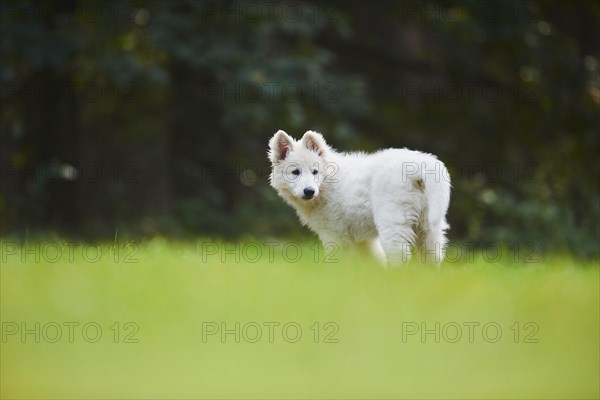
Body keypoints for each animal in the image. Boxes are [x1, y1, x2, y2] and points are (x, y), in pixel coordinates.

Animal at [268, 130, 450, 266]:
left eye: (315, 172)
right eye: (295, 172)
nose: (309, 191)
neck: (328, 183)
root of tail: (419, 164)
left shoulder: (335, 236)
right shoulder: (363, 242)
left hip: (393, 223)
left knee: (399, 256)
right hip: (428, 229)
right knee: (432, 259)